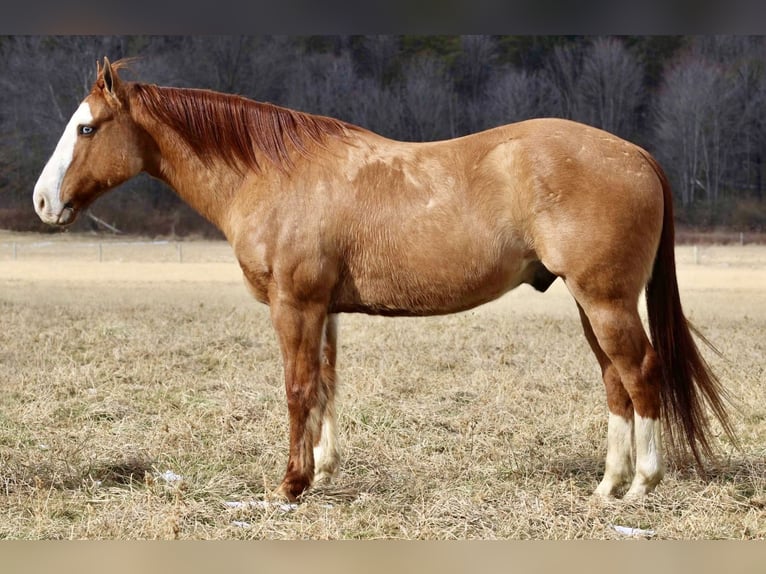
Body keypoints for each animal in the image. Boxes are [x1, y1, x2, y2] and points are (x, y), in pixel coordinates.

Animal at [33, 56, 736, 502]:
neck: (276, 175)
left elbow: (297, 389)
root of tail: (637, 154)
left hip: (607, 301)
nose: (42, 201)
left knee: (641, 374)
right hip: (593, 306)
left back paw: (641, 484)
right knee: (616, 381)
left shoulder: (295, 304)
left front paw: (291, 485)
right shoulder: (324, 309)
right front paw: (320, 473)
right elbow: (325, 387)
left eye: (87, 127)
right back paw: (607, 486)